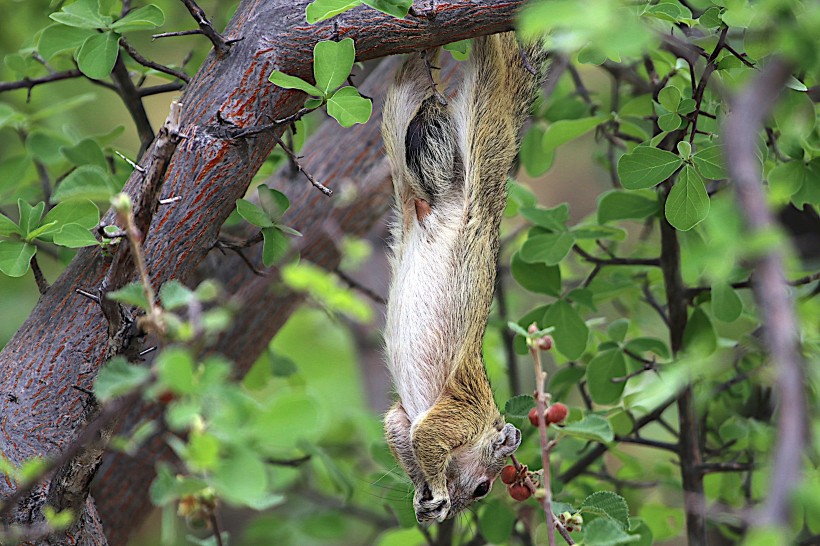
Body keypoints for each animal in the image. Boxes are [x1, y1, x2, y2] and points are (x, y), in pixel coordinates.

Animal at [382, 31, 548, 520]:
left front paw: (424, 497)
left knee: (403, 84)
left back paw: (418, 51)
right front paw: (436, 490)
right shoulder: (460, 414)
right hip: (484, 137)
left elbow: (402, 434)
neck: (485, 423)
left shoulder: (403, 418)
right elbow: (426, 438)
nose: (457, 509)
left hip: (397, 135)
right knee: (491, 75)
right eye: (483, 488)